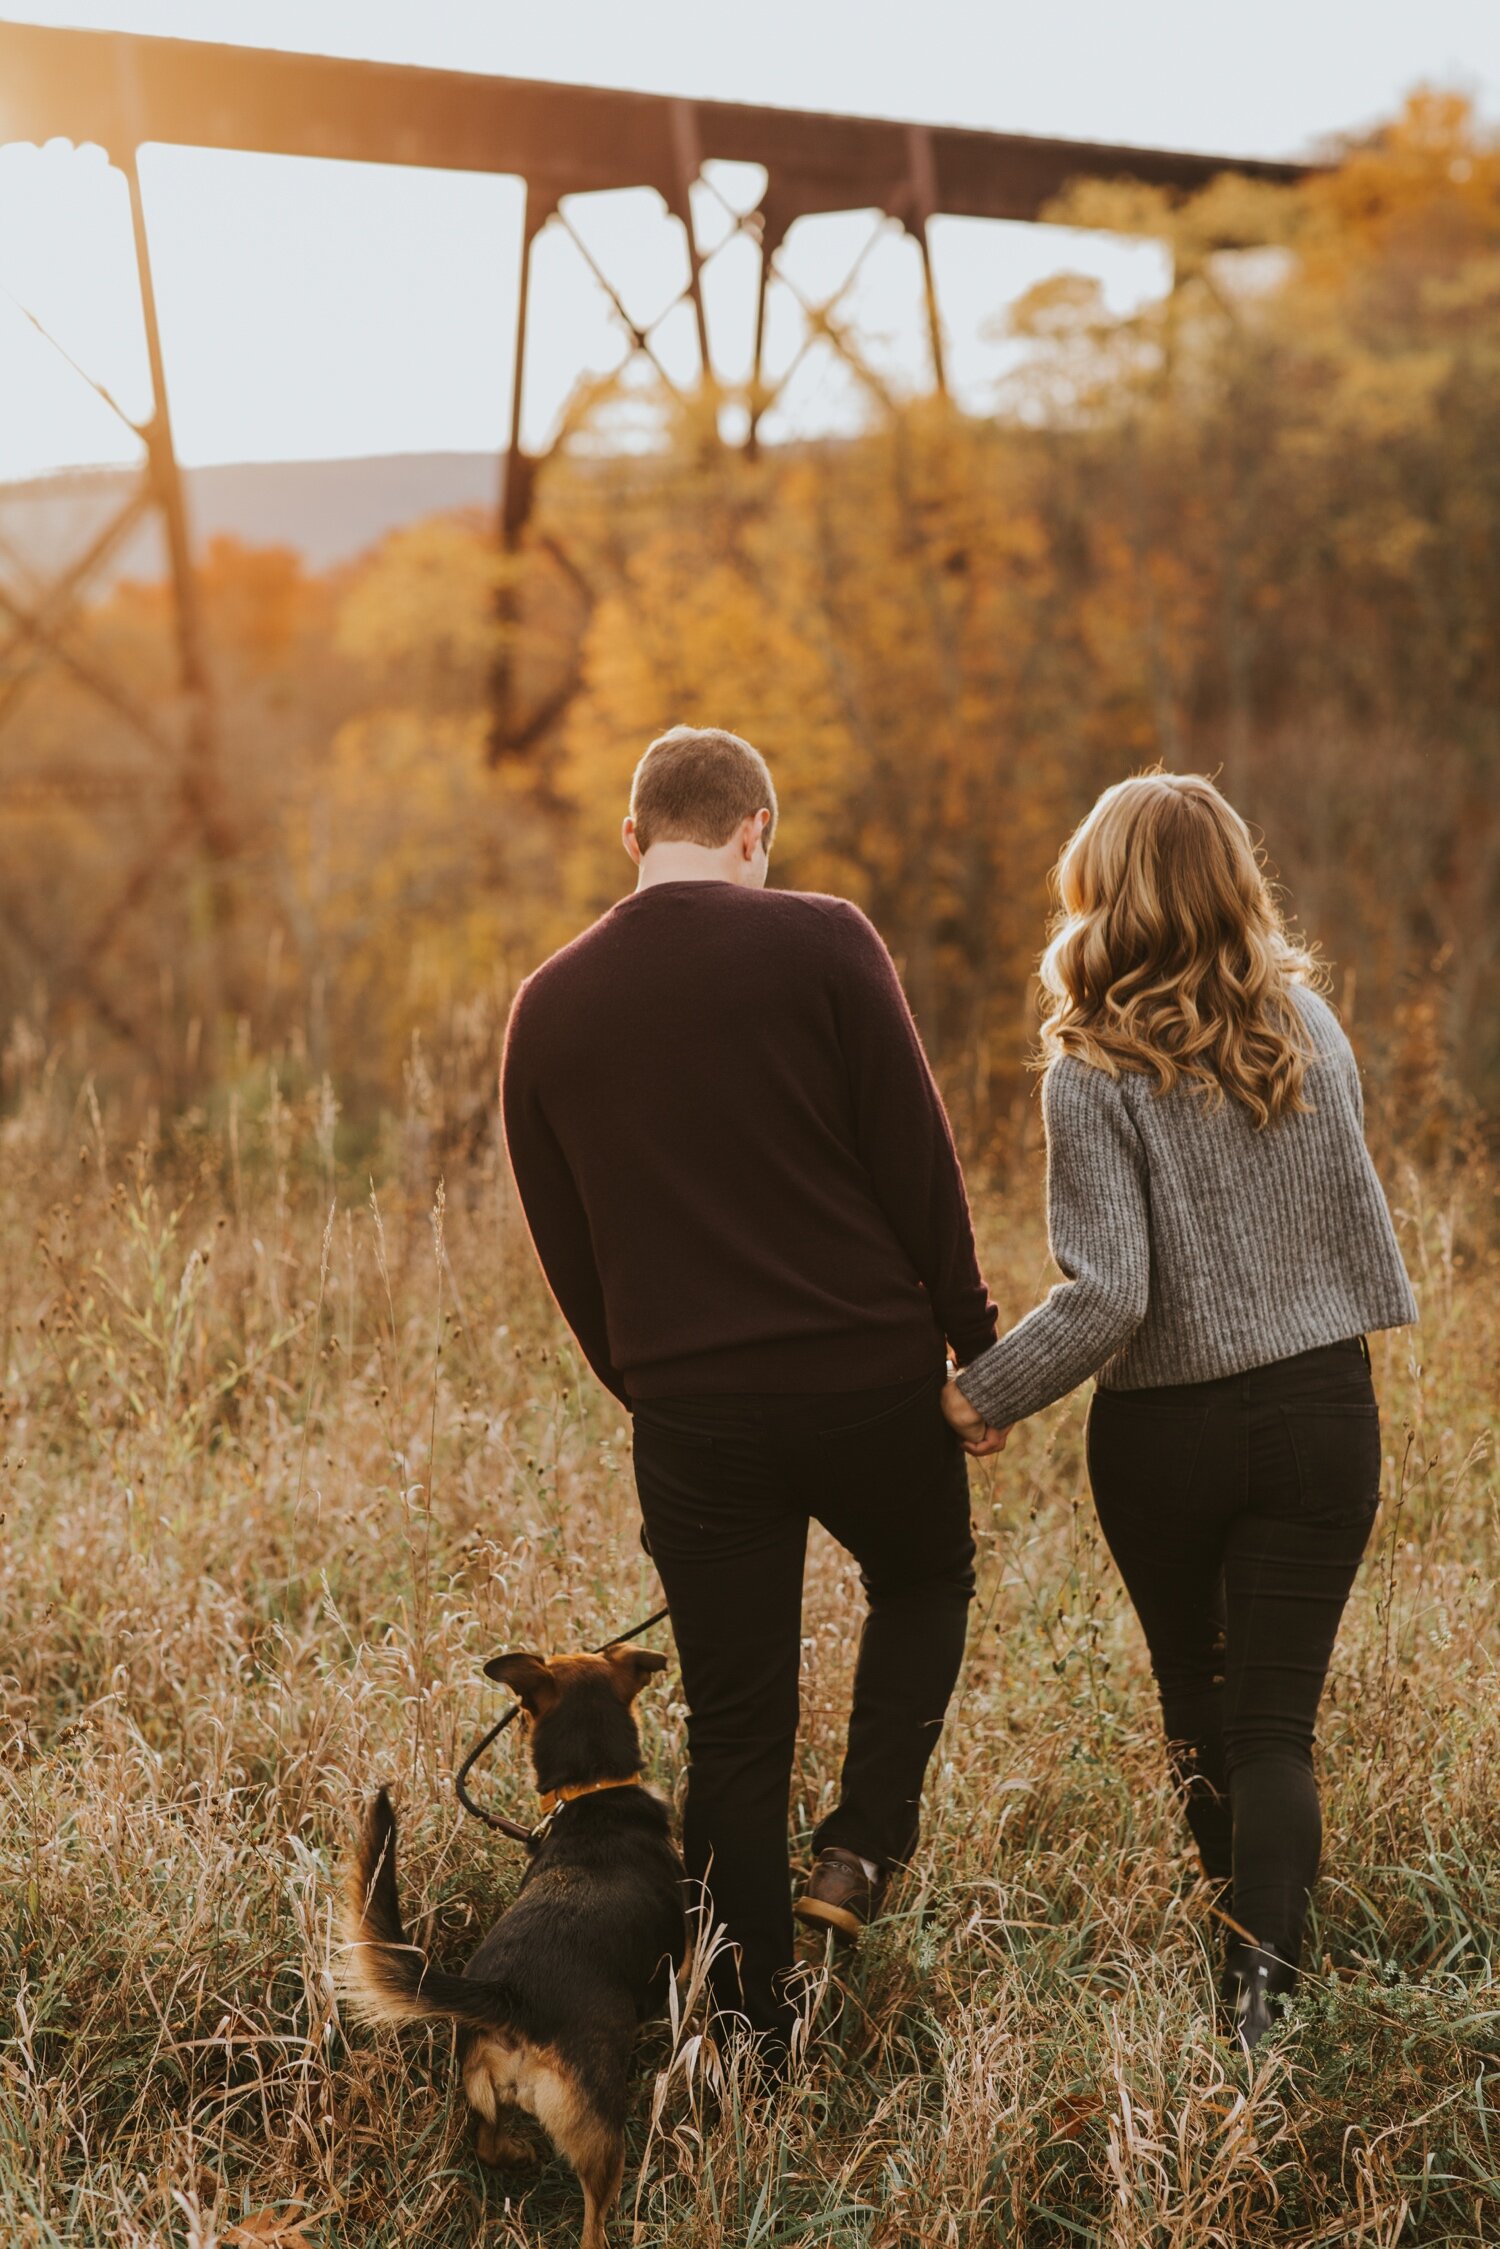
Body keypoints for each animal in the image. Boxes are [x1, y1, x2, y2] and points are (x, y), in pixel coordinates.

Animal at [339, 1637, 688, 2249]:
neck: (594, 1791)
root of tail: (511, 1994)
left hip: (479, 2085)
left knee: (486, 2143)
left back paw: (518, 2155)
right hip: (600, 2132)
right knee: (594, 2220)